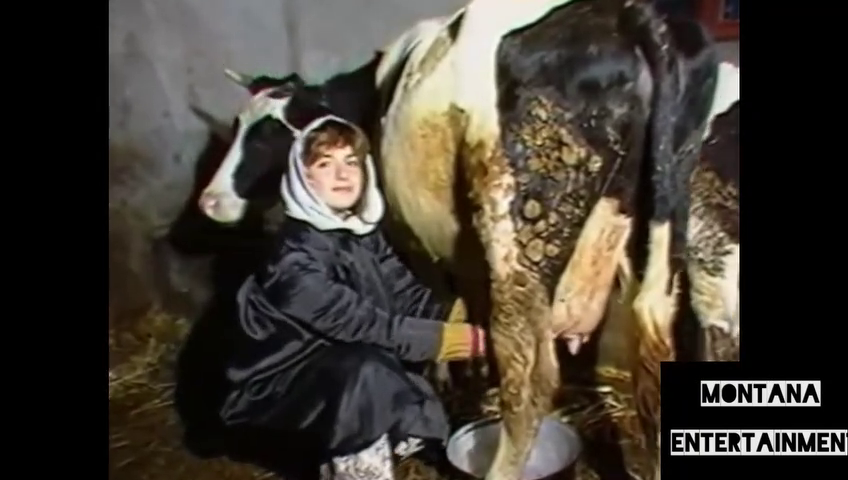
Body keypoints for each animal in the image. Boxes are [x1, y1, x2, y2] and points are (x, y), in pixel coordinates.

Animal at [197, 1, 736, 478]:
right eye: (238, 124)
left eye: (269, 135)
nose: (209, 201)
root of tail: (629, 12)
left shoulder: (416, 247)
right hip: (669, 236)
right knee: (655, 361)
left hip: (516, 230)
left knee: (529, 379)